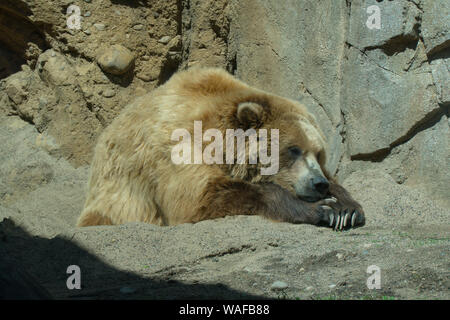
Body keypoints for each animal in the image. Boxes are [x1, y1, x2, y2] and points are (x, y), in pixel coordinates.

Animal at [78, 67, 366, 230]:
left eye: (319, 153)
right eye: (293, 149)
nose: (318, 183)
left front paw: (347, 209)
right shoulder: (176, 146)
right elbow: (198, 199)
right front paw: (324, 209)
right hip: (113, 205)